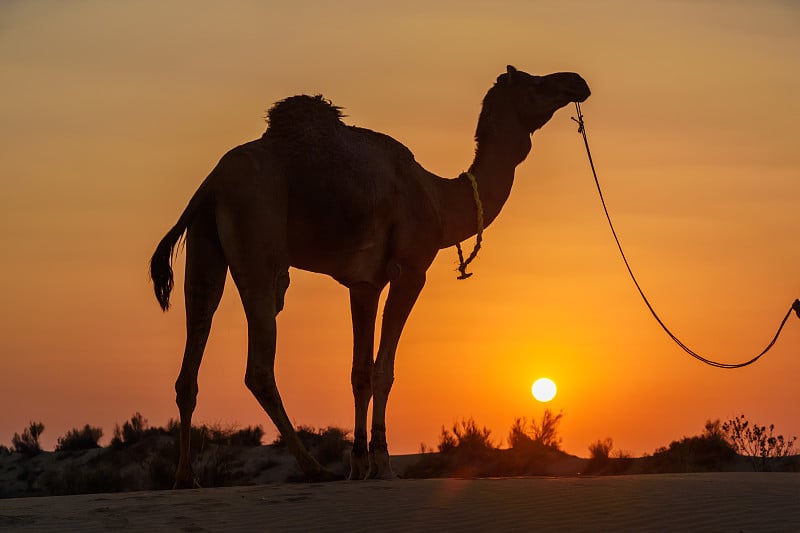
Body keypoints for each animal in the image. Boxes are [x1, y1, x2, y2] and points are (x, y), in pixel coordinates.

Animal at [150, 64, 588, 484]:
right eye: (534, 82)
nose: (577, 82)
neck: (441, 201)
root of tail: (210, 183)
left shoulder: (364, 284)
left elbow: (359, 371)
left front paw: (358, 464)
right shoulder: (411, 270)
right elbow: (384, 369)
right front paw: (382, 463)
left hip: (205, 247)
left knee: (193, 349)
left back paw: (186, 478)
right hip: (259, 244)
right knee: (258, 366)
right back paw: (314, 469)